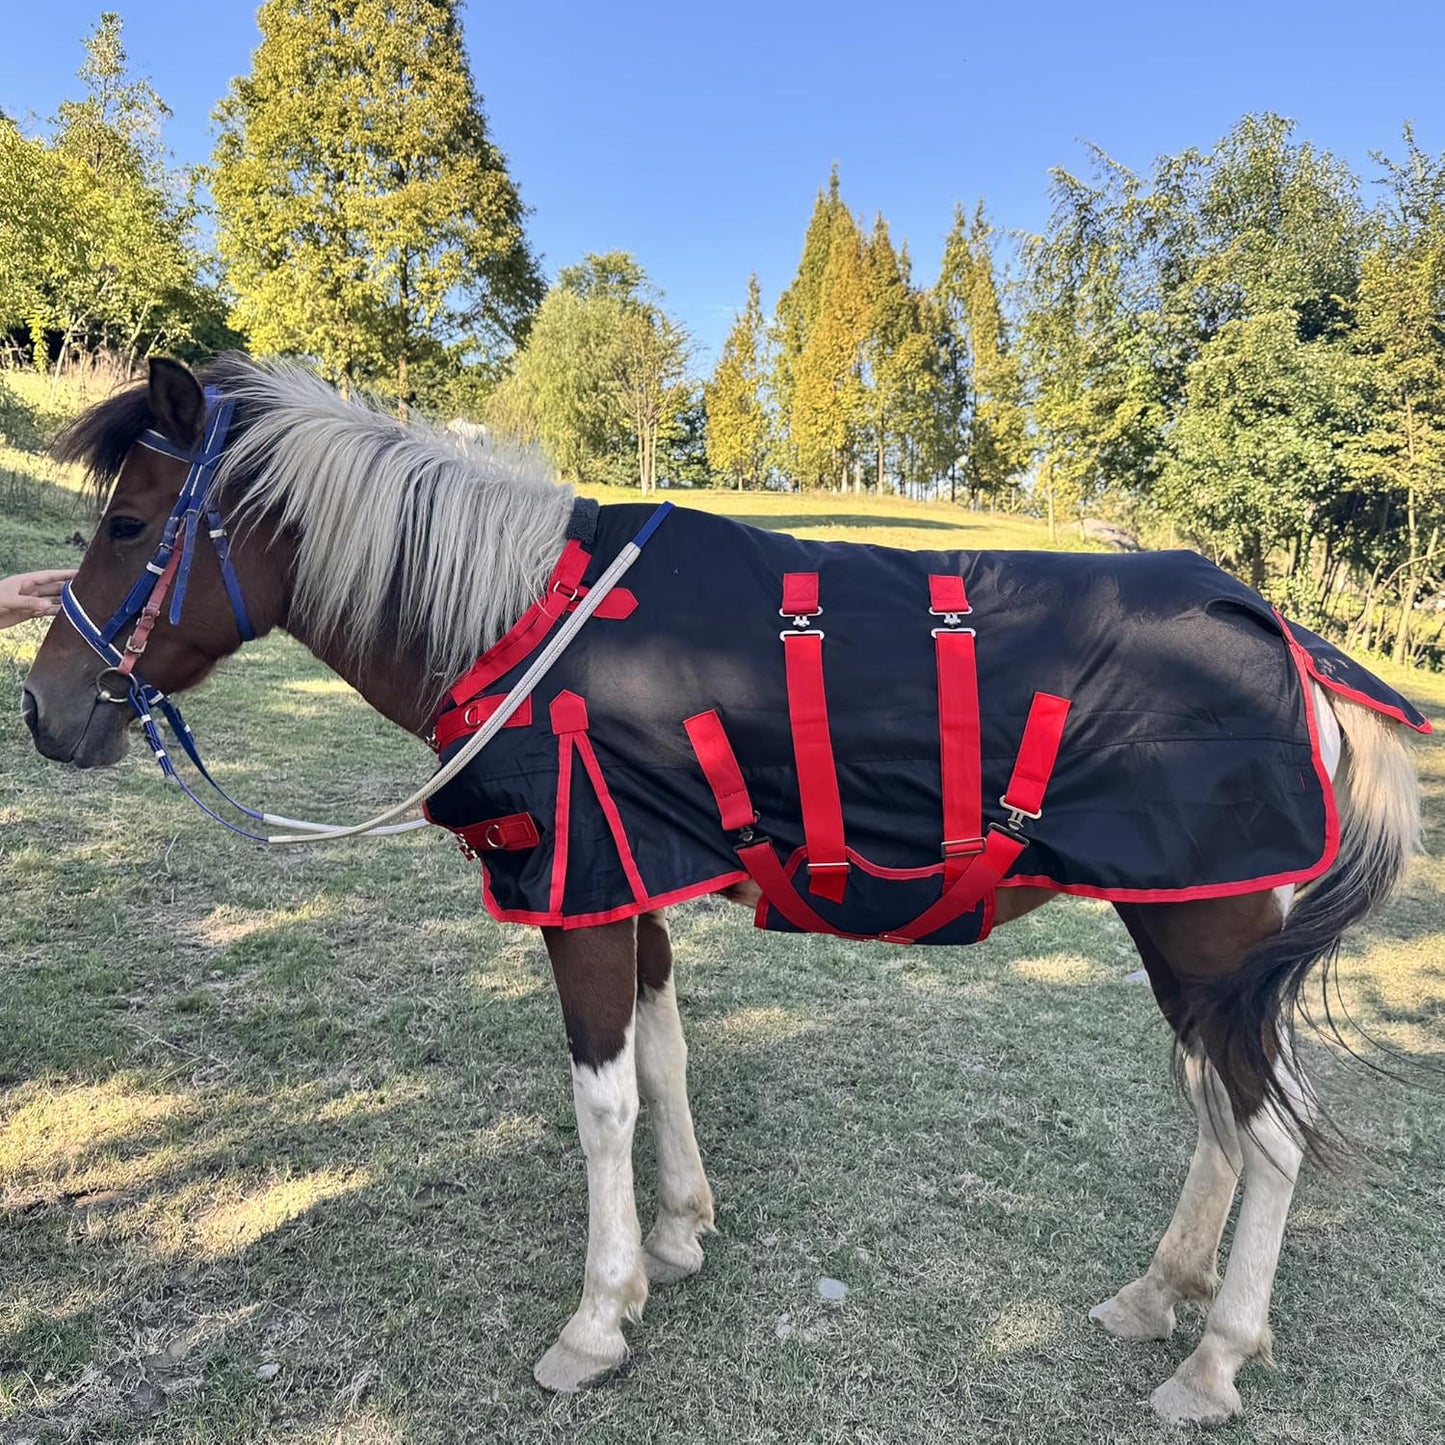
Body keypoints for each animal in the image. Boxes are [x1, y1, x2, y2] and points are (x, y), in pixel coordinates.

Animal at [21, 354, 1427, 1427]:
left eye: (131, 526)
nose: (45, 709)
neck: (530, 623)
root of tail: (1282, 633)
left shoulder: (574, 894)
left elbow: (600, 1103)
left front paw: (598, 1315)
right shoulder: (622, 887)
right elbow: (663, 1058)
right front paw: (678, 1234)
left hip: (1204, 937)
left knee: (1273, 1131)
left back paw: (1213, 1354)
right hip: (1189, 946)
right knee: (1220, 1116)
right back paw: (1159, 1291)